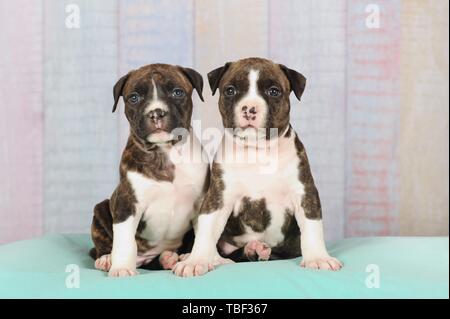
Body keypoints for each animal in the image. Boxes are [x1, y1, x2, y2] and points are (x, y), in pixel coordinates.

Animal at [92, 63, 211, 278]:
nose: (156, 112)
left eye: (177, 92)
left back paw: (171, 258)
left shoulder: (201, 202)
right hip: (101, 209)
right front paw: (122, 267)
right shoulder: (126, 204)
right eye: (134, 98)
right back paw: (107, 259)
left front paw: (198, 260)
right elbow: (124, 241)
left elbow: (203, 235)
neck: (164, 153)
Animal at [172, 57, 342, 278]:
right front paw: (196, 260)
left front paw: (318, 258)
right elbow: (206, 230)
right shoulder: (218, 198)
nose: (250, 108)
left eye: (274, 91)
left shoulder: (305, 194)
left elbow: (312, 228)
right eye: (230, 90)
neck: (257, 151)